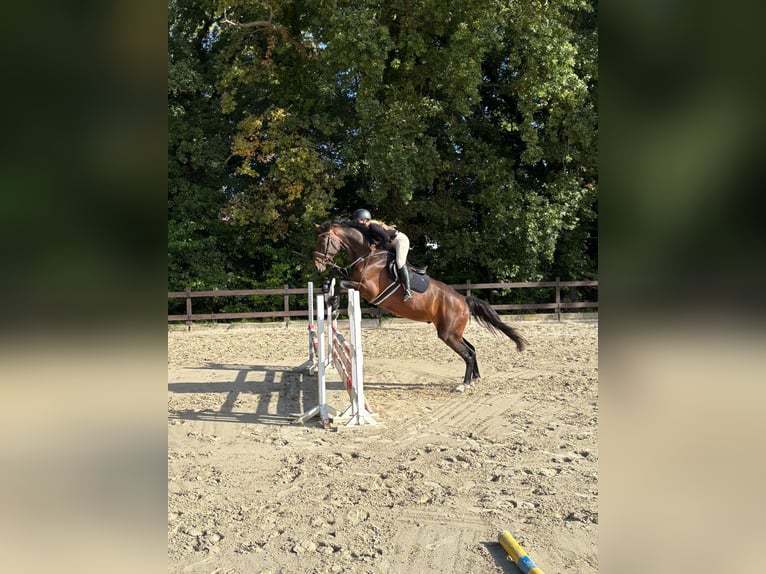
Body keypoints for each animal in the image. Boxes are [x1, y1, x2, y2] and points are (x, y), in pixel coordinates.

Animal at [313, 219, 527, 391]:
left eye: (323, 241)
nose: (317, 266)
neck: (367, 255)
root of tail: (463, 300)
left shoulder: (367, 289)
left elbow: (341, 283)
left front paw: (333, 301)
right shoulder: (354, 279)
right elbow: (337, 275)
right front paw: (327, 289)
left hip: (448, 334)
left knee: (467, 354)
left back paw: (463, 384)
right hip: (452, 331)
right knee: (472, 349)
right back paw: (474, 378)